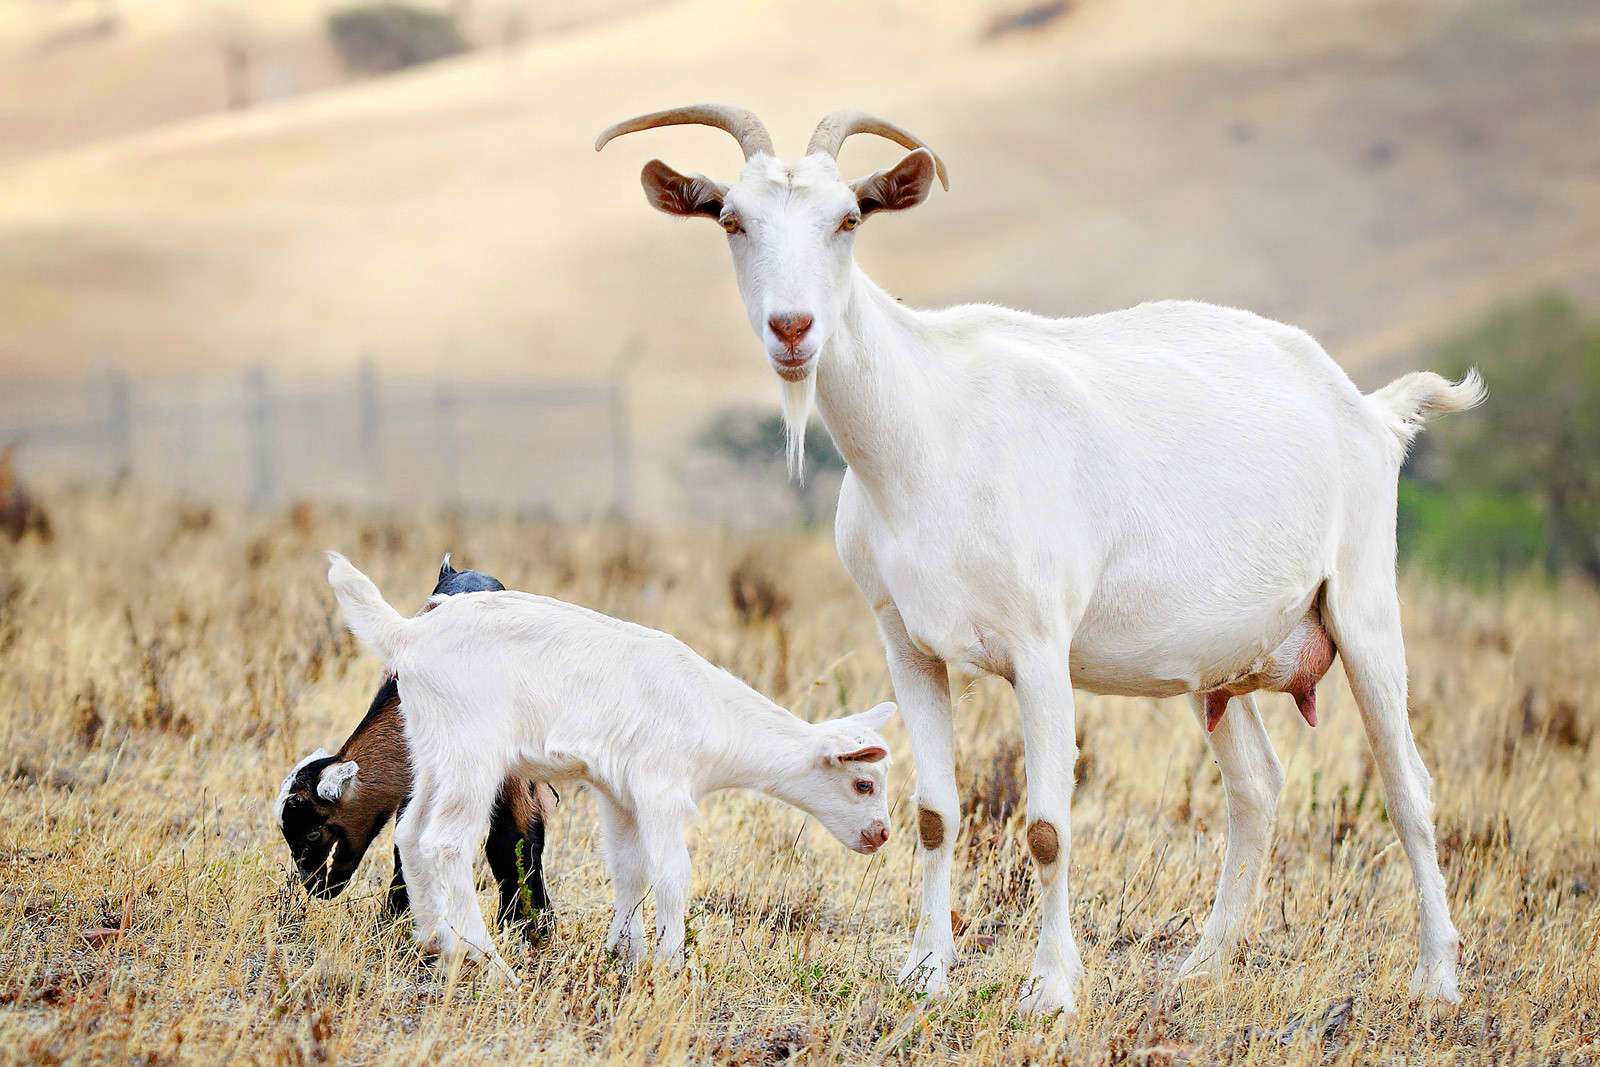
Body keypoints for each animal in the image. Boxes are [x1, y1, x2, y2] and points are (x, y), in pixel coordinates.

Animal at [601, 106, 1484, 1017]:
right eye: (732, 221)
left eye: (848, 219)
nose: (792, 328)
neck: (928, 430)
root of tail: (1370, 411)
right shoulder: (905, 642)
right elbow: (935, 813)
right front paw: (926, 970)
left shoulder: (1040, 645)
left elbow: (1048, 825)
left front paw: (1051, 988)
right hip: (1217, 662)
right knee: (1258, 787)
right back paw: (1204, 965)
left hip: (1362, 603)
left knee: (1408, 787)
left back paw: (1436, 976)